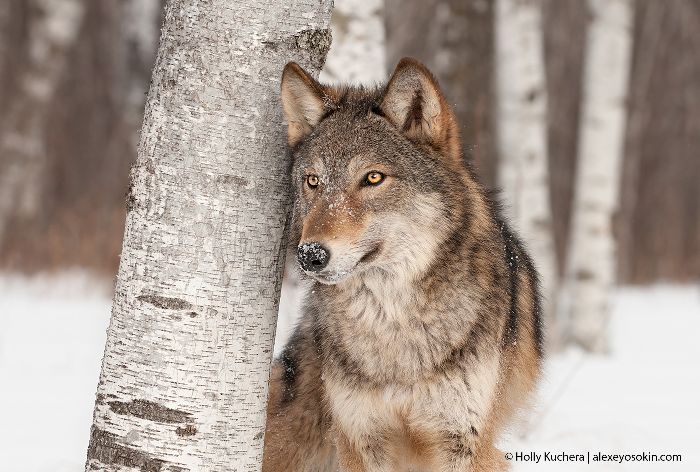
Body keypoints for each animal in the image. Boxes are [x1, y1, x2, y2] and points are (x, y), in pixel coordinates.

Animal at [262, 59, 540, 472]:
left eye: (373, 177)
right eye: (312, 181)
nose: (310, 254)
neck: (392, 324)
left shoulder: (465, 442)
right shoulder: (361, 438)